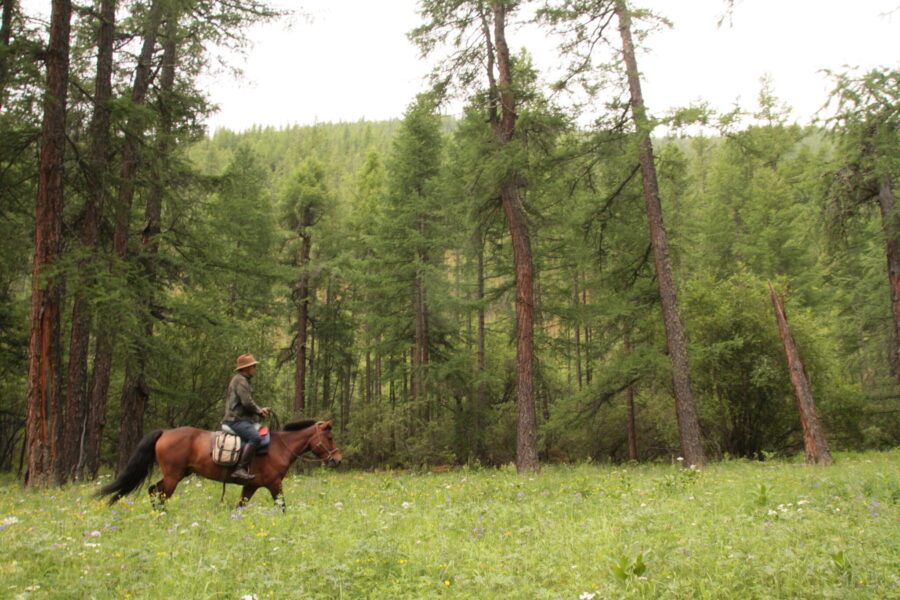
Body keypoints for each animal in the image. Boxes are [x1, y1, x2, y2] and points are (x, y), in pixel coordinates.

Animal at [97, 420, 341, 510]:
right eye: (330, 438)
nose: (337, 459)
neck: (281, 447)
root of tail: (165, 432)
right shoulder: (274, 484)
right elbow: (282, 506)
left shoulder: (251, 485)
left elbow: (241, 506)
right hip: (173, 476)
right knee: (159, 492)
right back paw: (162, 515)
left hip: (179, 474)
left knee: (153, 490)